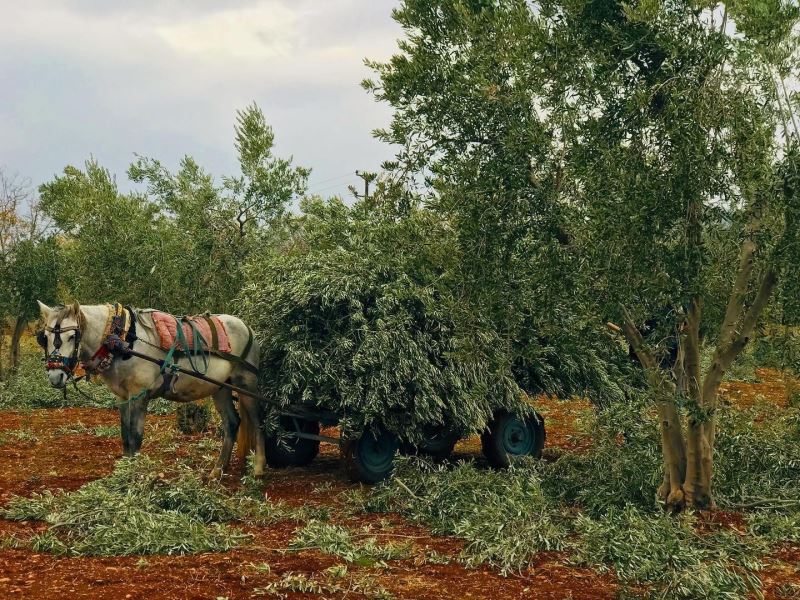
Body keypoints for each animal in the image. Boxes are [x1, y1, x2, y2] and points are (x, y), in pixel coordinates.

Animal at [36, 300, 266, 478]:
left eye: (72, 337)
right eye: (45, 338)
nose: (55, 376)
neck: (122, 341)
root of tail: (246, 326)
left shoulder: (139, 395)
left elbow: (136, 436)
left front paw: (134, 474)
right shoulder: (122, 397)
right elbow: (125, 435)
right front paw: (124, 471)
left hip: (246, 385)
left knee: (257, 421)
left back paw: (258, 468)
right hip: (220, 388)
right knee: (232, 423)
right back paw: (218, 470)